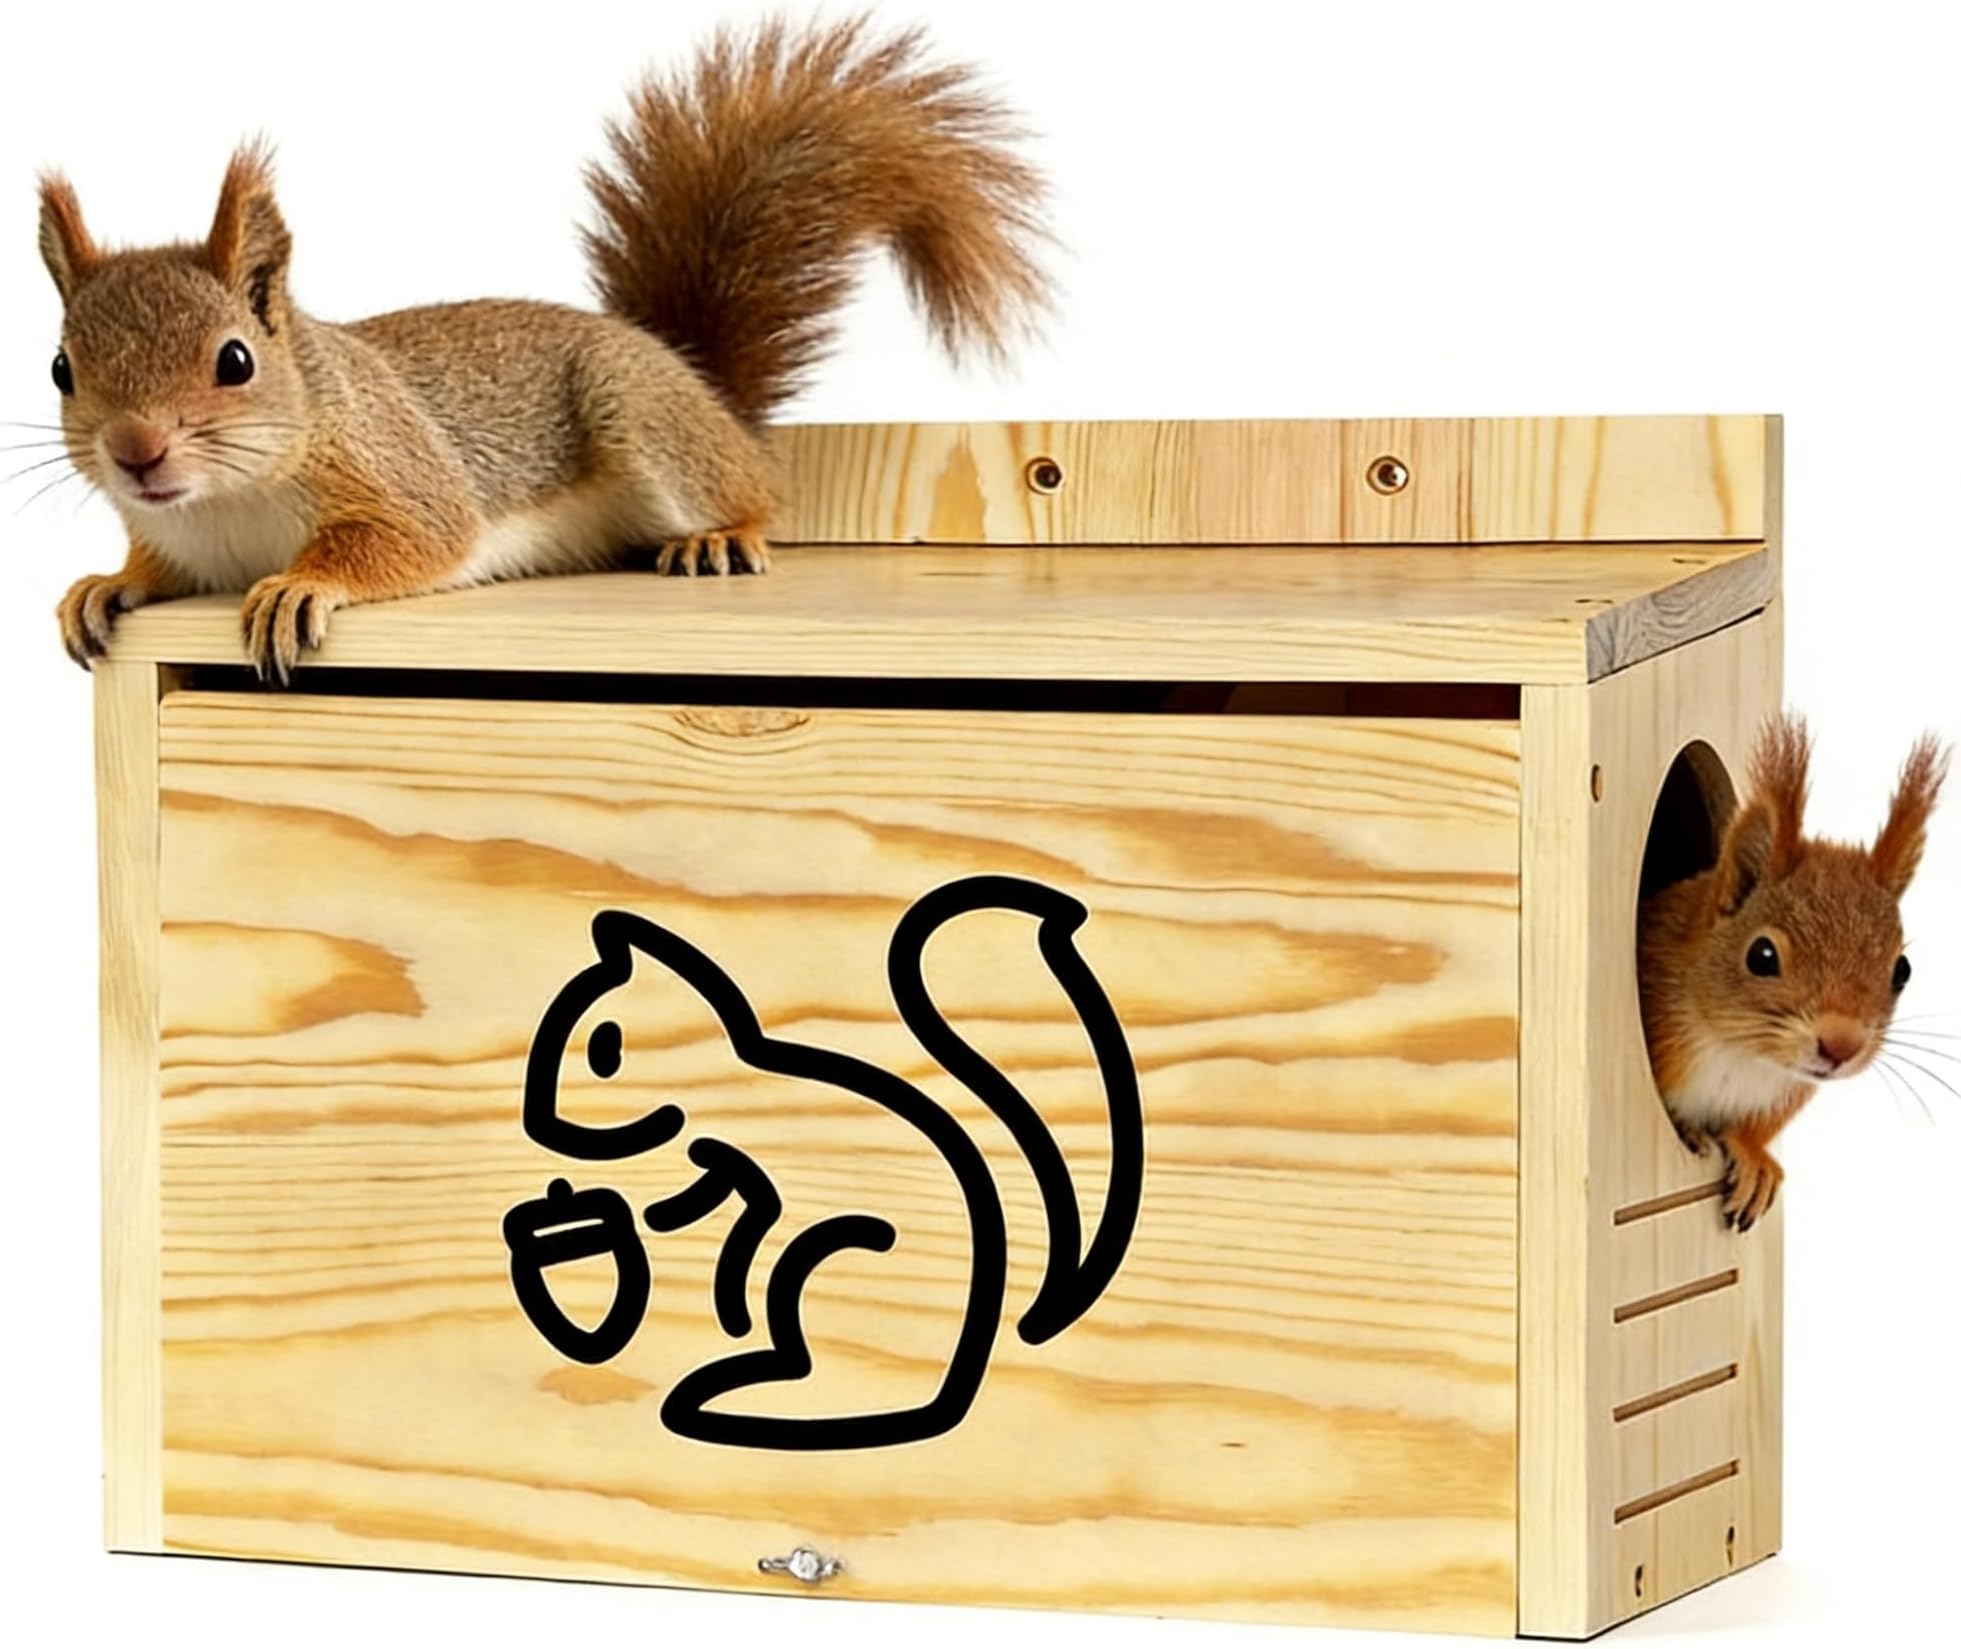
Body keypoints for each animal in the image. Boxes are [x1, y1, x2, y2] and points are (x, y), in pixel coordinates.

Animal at [39, 15, 1050, 682]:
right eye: (61, 368)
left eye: (236, 361)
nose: (136, 452)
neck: (228, 501)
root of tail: (697, 381)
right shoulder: (180, 540)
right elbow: (154, 571)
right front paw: (103, 585)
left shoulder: (399, 470)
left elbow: (412, 537)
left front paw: (298, 586)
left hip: (645, 415)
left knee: (756, 490)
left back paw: (723, 534)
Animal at [1637, 712, 1949, 1231]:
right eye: (1762, 956)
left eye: (1902, 970)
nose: (1841, 1046)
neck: (1741, 1055)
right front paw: (1688, 1128)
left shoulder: (1784, 1092)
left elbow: (1754, 1132)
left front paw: (1754, 1160)